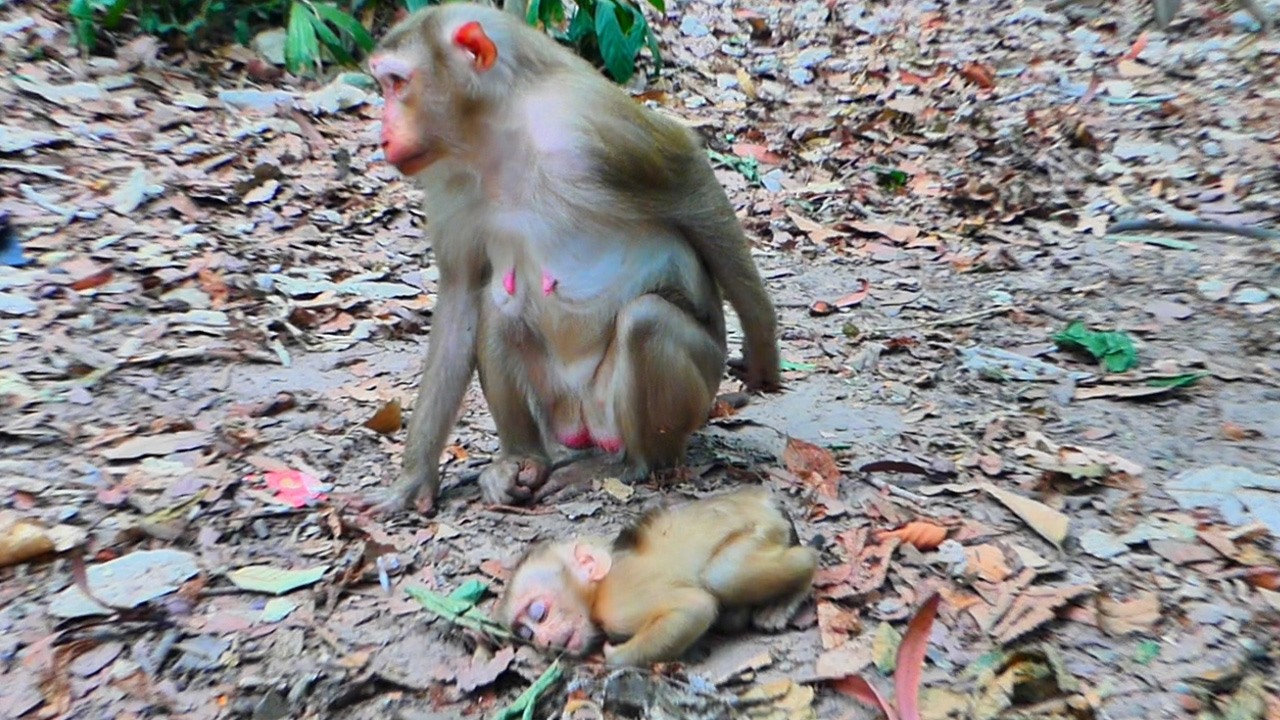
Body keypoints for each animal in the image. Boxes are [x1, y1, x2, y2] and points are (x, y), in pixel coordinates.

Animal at [365, 3, 782, 514]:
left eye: (398, 83)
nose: (383, 134)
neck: (500, 133)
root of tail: (586, 425)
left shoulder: (589, 122)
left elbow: (689, 176)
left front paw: (762, 349)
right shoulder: (446, 180)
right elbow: (461, 295)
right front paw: (413, 479)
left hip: (675, 399)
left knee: (646, 321)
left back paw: (630, 465)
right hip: (559, 413)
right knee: (498, 309)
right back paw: (521, 461)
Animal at [495, 486, 819, 667]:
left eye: (539, 613)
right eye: (527, 635)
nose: (545, 642)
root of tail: (762, 499)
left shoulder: (618, 604)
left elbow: (694, 607)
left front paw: (615, 655)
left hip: (762, 528)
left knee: (724, 574)